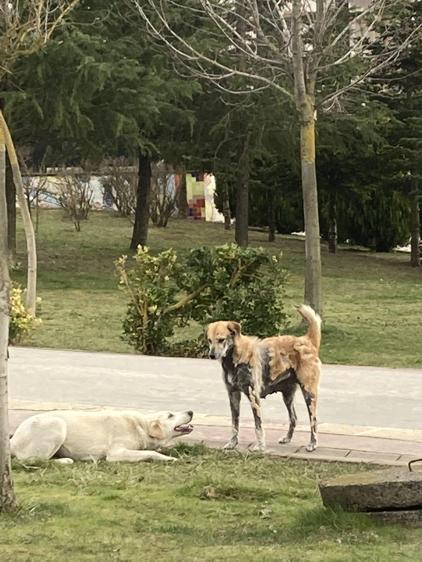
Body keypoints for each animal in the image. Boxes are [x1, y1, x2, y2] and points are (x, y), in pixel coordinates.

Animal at [10, 410, 195, 462]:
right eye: (170, 415)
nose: (191, 411)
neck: (140, 426)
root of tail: (12, 440)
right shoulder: (116, 453)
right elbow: (151, 452)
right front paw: (170, 459)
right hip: (57, 425)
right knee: (34, 460)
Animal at [208, 302, 324, 450]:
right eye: (209, 340)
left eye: (221, 340)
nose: (211, 355)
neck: (234, 359)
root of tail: (307, 340)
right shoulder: (233, 395)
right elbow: (235, 424)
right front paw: (232, 443)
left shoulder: (253, 396)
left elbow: (258, 426)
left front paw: (260, 447)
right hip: (287, 396)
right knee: (293, 418)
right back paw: (287, 438)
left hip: (309, 394)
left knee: (313, 421)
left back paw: (312, 444)